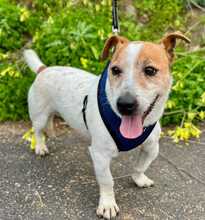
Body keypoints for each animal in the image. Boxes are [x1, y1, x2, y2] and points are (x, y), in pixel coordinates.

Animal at [23, 31, 190, 219]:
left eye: (150, 70)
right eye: (115, 70)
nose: (124, 104)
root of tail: (43, 69)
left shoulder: (151, 148)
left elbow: (140, 166)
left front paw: (139, 179)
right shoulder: (100, 155)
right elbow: (107, 181)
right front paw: (108, 205)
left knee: (49, 122)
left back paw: (51, 133)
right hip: (39, 115)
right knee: (37, 131)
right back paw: (40, 147)